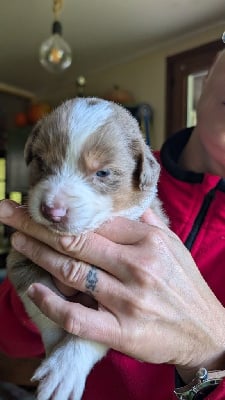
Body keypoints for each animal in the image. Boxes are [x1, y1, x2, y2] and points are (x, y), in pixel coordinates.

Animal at [7, 97, 168, 400]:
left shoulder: (129, 298)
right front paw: (55, 347)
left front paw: (64, 366)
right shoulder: (20, 257)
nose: (52, 210)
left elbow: (93, 327)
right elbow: (42, 301)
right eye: (41, 162)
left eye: (102, 172)